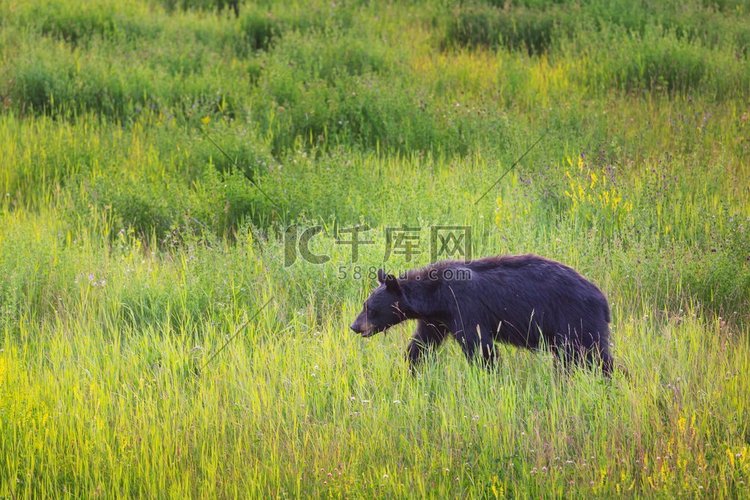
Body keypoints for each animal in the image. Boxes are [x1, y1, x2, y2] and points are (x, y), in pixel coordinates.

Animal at [350, 254, 612, 376]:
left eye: (369, 307)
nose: (354, 326)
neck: (436, 297)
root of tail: (602, 298)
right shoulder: (436, 320)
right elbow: (421, 343)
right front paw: (411, 370)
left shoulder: (465, 308)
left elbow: (480, 347)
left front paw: (490, 375)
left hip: (575, 320)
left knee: (591, 355)